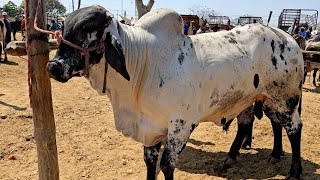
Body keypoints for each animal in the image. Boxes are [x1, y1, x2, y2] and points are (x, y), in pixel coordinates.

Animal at [46, 5, 304, 180]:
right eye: (64, 27)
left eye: (87, 28)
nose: (53, 66)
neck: (143, 63)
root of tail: (289, 38)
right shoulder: (150, 128)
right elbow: (150, 163)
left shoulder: (180, 125)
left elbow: (167, 166)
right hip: (257, 99)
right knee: (259, 124)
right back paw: (254, 156)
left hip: (285, 98)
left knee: (293, 129)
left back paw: (294, 170)